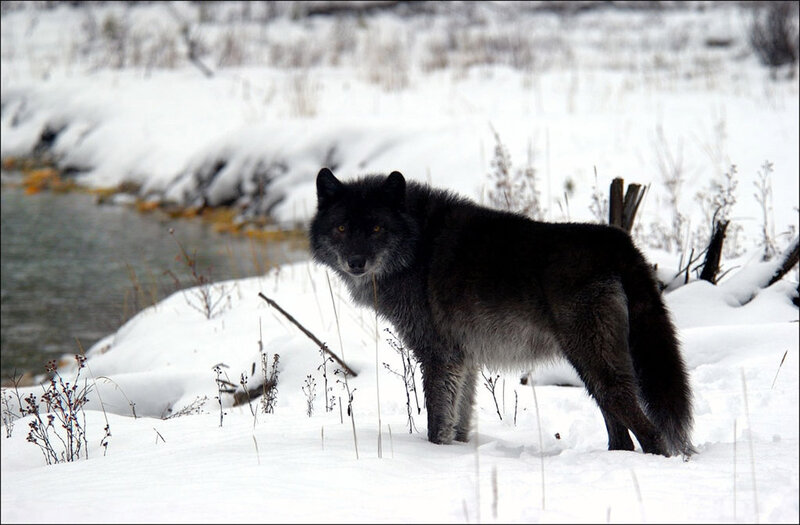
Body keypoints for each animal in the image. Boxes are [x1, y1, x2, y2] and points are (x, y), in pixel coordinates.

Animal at [309, 167, 694, 457]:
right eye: (341, 228)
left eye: (377, 228)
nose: (356, 262)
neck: (417, 245)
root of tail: (619, 241)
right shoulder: (464, 360)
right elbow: (459, 421)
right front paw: (458, 452)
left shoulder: (438, 356)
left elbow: (437, 422)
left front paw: (434, 456)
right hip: (590, 370)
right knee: (621, 434)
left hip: (595, 365)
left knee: (650, 432)